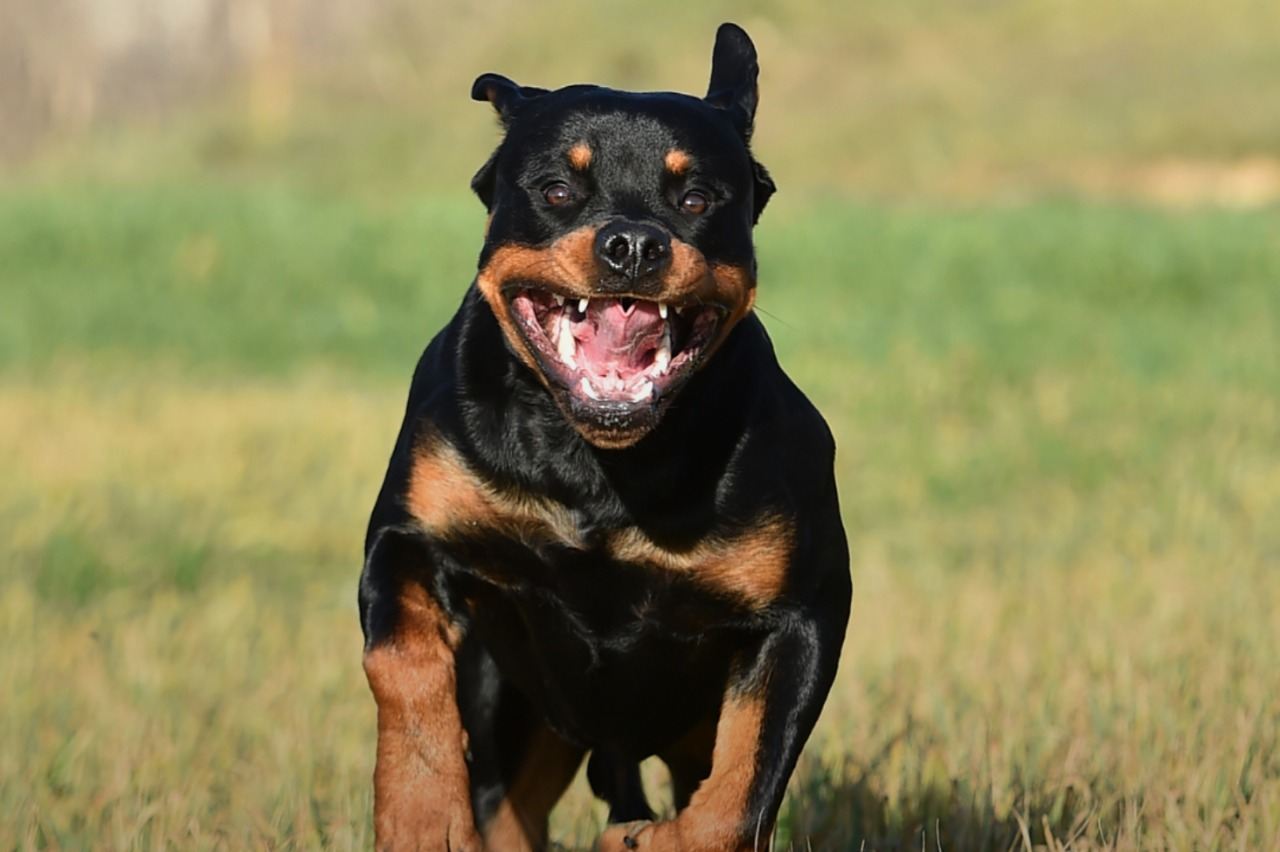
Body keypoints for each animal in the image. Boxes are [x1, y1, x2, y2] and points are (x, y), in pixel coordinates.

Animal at [358, 23, 849, 849]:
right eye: (558, 189)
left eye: (696, 198)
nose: (633, 245)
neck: (597, 466)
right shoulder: (410, 536)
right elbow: (402, 663)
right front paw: (423, 814)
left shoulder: (803, 613)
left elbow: (741, 788)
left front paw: (659, 839)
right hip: (521, 715)